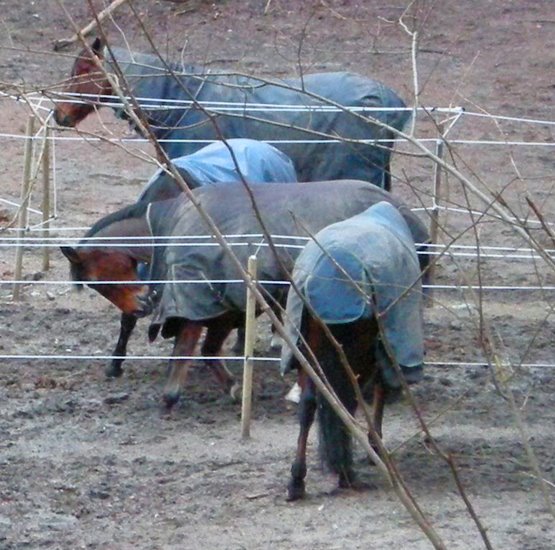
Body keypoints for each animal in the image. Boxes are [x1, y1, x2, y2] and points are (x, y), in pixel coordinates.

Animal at [60, 181, 430, 410]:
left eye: (100, 279)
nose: (141, 306)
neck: (171, 226)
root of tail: (406, 215)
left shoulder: (202, 297)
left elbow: (187, 347)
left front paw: (172, 393)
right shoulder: (225, 307)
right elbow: (207, 350)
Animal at [282, 204, 426, 504]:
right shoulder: (381, 355)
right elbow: (379, 393)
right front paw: (375, 446)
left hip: (307, 356)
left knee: (310, 405)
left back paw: (298, 480)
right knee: (344, 403)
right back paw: (346, 474)